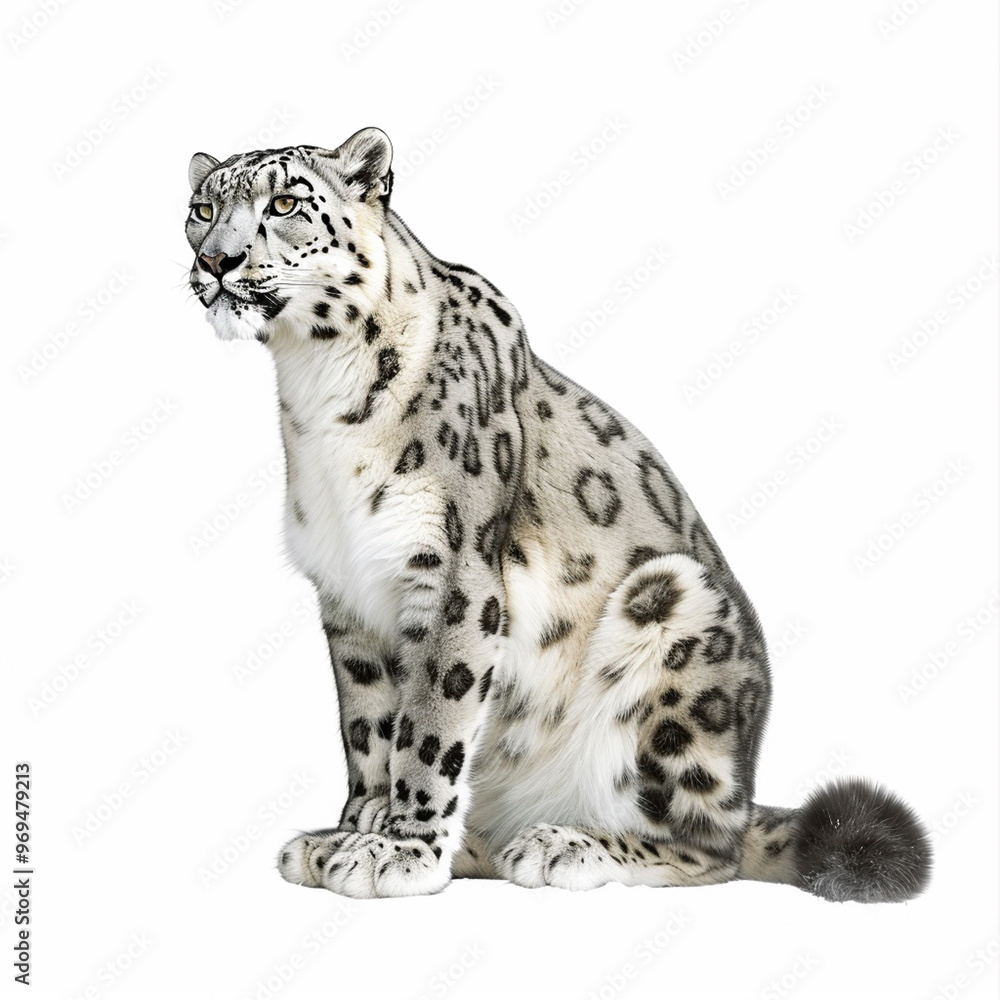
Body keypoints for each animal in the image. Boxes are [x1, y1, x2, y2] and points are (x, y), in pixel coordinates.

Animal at [184, 127, 931, 901]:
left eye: (285, 203)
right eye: (201, 210)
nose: (215, 260)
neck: (316, 391)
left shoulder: (453, 574)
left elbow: (428, 724)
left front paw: (400, 850)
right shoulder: (344, 592)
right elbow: (367, 726)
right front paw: (353, 830)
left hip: (675, 612)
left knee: (709, 844)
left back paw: (563, 843)